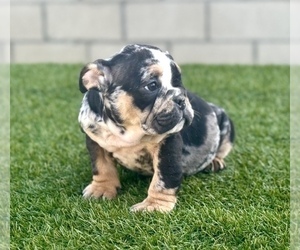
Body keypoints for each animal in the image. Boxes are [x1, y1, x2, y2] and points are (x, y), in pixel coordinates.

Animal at [77, 44, 234, 212]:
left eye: (178, 82)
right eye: (151, 86)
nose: (181, 99)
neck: (128, 130)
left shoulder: (167, 145)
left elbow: (163, 178)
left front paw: (154, 206)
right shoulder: (95, 140)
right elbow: (101, 166)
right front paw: (101, 189)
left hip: (225, 121)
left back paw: (214, 161)